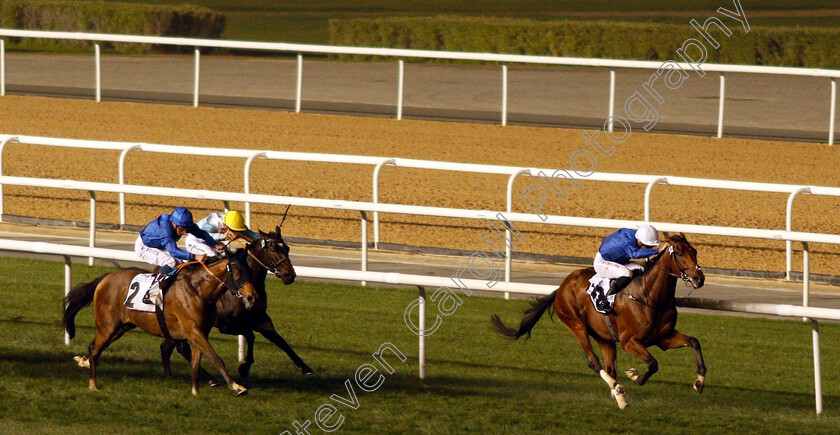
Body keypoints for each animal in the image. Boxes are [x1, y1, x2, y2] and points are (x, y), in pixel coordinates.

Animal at [63, 247, 256, 396]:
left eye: (250, 272)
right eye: (237, 272)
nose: (252, 297)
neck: (198, 289)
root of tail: (107, 277)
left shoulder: (199, 333)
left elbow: (196, 363)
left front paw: (195, 392)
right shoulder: (194, 331)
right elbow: (216, 358)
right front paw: (236, 386)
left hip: (120, 328)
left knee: (94, 348)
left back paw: (85, 364)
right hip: (108, 327)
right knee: (94, 349)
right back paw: (93, 385)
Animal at [159, 227, 314, 384]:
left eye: (287, 248)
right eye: (272, 249)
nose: (290, 275)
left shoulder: (260, 319)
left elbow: (279, 340)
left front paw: (305, 367)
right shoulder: (227, 325)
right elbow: (251, 335)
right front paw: (244, 367)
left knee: (168, 346)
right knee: (180, 347)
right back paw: (208, 378)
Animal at [488, 235, 704, 408]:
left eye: (694, 251)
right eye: (679, 252)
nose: (699, 278)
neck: (649, 296)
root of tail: (562, 287)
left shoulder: (663, 337)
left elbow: (694, 342)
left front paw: (699, 382)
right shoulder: (629, 342)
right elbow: (653, 363)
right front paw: (634, 375)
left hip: (604, 337)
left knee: (609, 367)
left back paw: (619, 397)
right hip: (576, 325)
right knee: (594, 362)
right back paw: (618, 390)